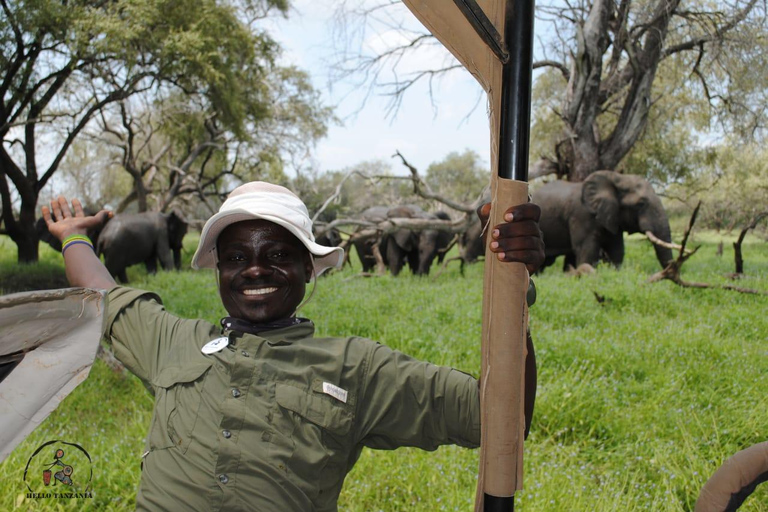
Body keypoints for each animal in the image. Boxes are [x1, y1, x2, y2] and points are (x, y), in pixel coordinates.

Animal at [536, 170, 672, 270]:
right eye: (641, 204)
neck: (618, 178)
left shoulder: (613, 218)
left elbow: (616, 250)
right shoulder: (581, 215)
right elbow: (586, 249)